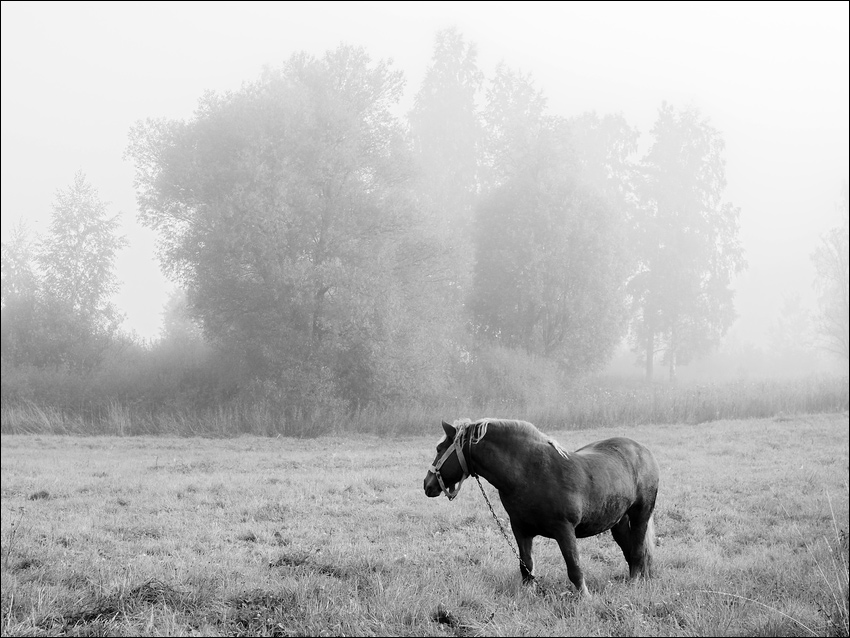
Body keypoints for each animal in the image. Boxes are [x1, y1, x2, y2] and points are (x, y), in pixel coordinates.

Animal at [422, 420, 656, 596]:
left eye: (439, 449)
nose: (427, 484)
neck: (530, 473)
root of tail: (643, 450)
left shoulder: (564, 530)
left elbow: (574, 567)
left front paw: (585, 598)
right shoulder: (520, 530)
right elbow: (526, 566)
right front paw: (528, 595)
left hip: (640, 516)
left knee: (638, 551)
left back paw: (634, 584)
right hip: (618, 521)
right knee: (631, 551)